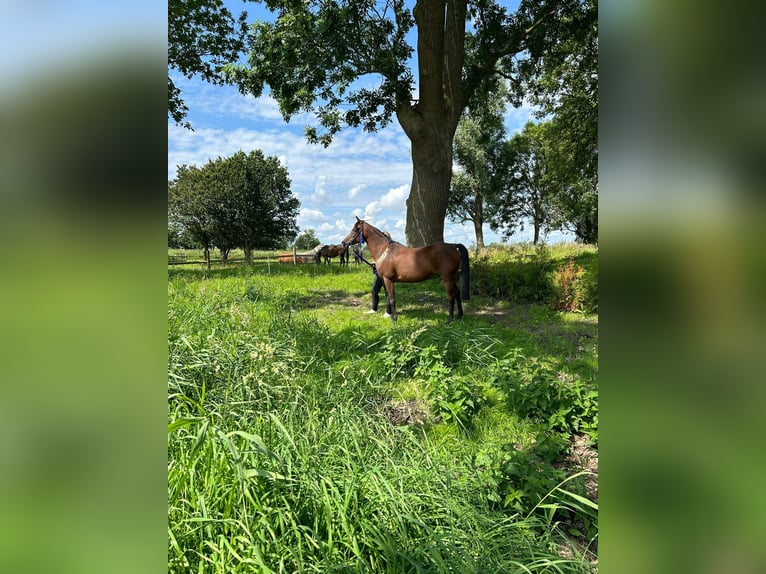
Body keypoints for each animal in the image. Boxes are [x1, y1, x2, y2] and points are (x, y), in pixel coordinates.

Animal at [340, 217, 468, 324]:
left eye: (355, 229)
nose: (343, 242)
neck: (384, 251)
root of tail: (453, 246)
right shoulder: (384, 279)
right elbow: (388, 296)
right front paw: (389, 315)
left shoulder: (388, 279)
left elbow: (392, 298)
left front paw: (394, 319)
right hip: (452, 278)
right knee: (457, 293)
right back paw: (459, 316)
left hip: (447, 278)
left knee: (451, 296)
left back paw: (449, 320)